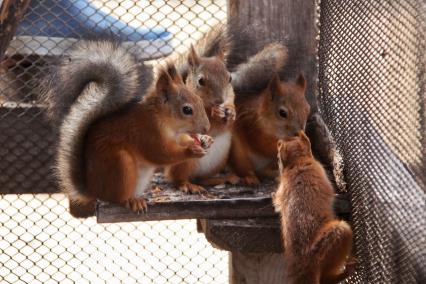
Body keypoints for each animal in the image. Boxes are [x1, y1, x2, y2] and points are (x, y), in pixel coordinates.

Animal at [272, 132, 356, 282]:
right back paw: (347, 270)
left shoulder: (282, 191)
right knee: (326, 278)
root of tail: (303, 265)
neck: (297, 162)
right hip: (339, 233)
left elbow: (276, 201)